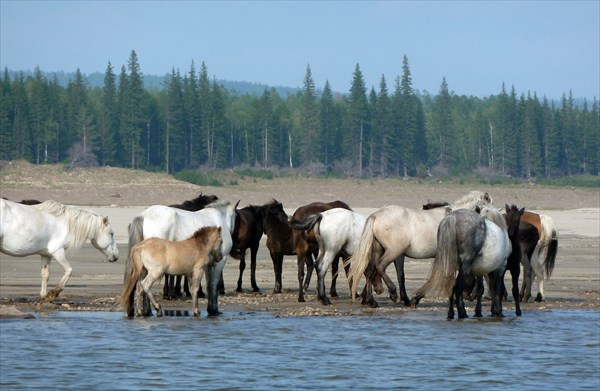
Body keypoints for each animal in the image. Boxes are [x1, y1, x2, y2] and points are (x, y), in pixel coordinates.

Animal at [346, 191, 492, 310]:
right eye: (485, 209)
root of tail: (376, 215)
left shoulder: (401, 256)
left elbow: (401, 276)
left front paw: (407, 299)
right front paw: (414, 299)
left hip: (382, 251)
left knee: (370, 271)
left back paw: (372, 301)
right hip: (393, 251)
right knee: (379, 266)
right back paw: (392, 293)